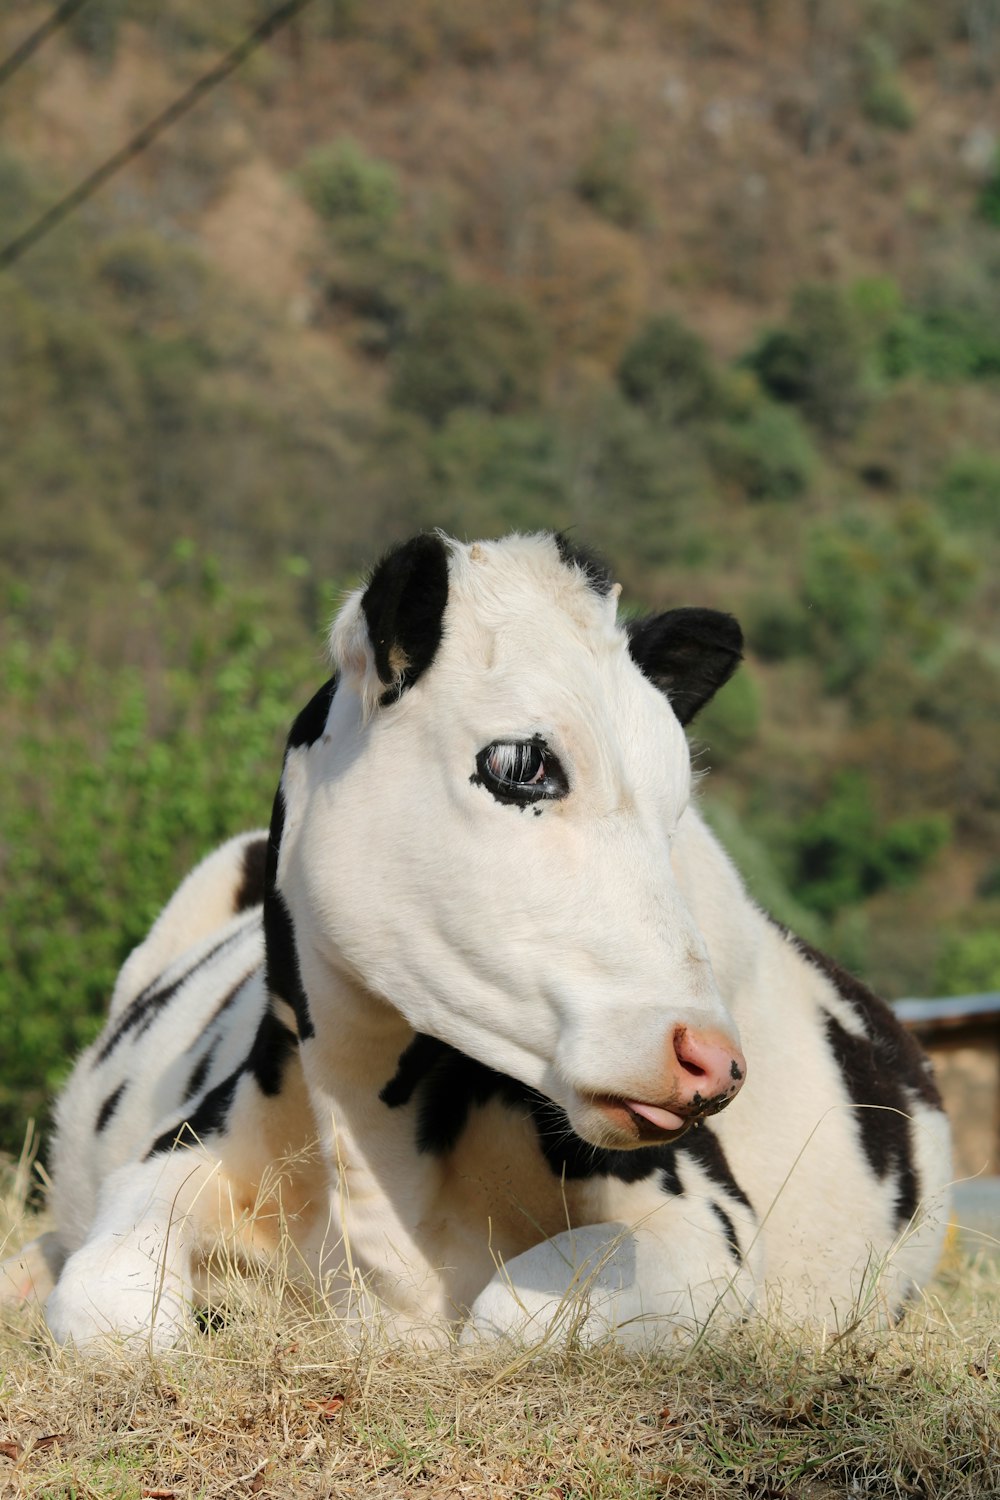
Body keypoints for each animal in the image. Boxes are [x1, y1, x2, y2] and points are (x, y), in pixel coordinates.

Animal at [1, 537, 953, 1350]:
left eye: (678, 800)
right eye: (522, 764)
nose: (710, 1058)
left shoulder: (706, 1228)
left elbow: (504, 1316)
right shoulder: (184, 1149)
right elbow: (110, 1304)